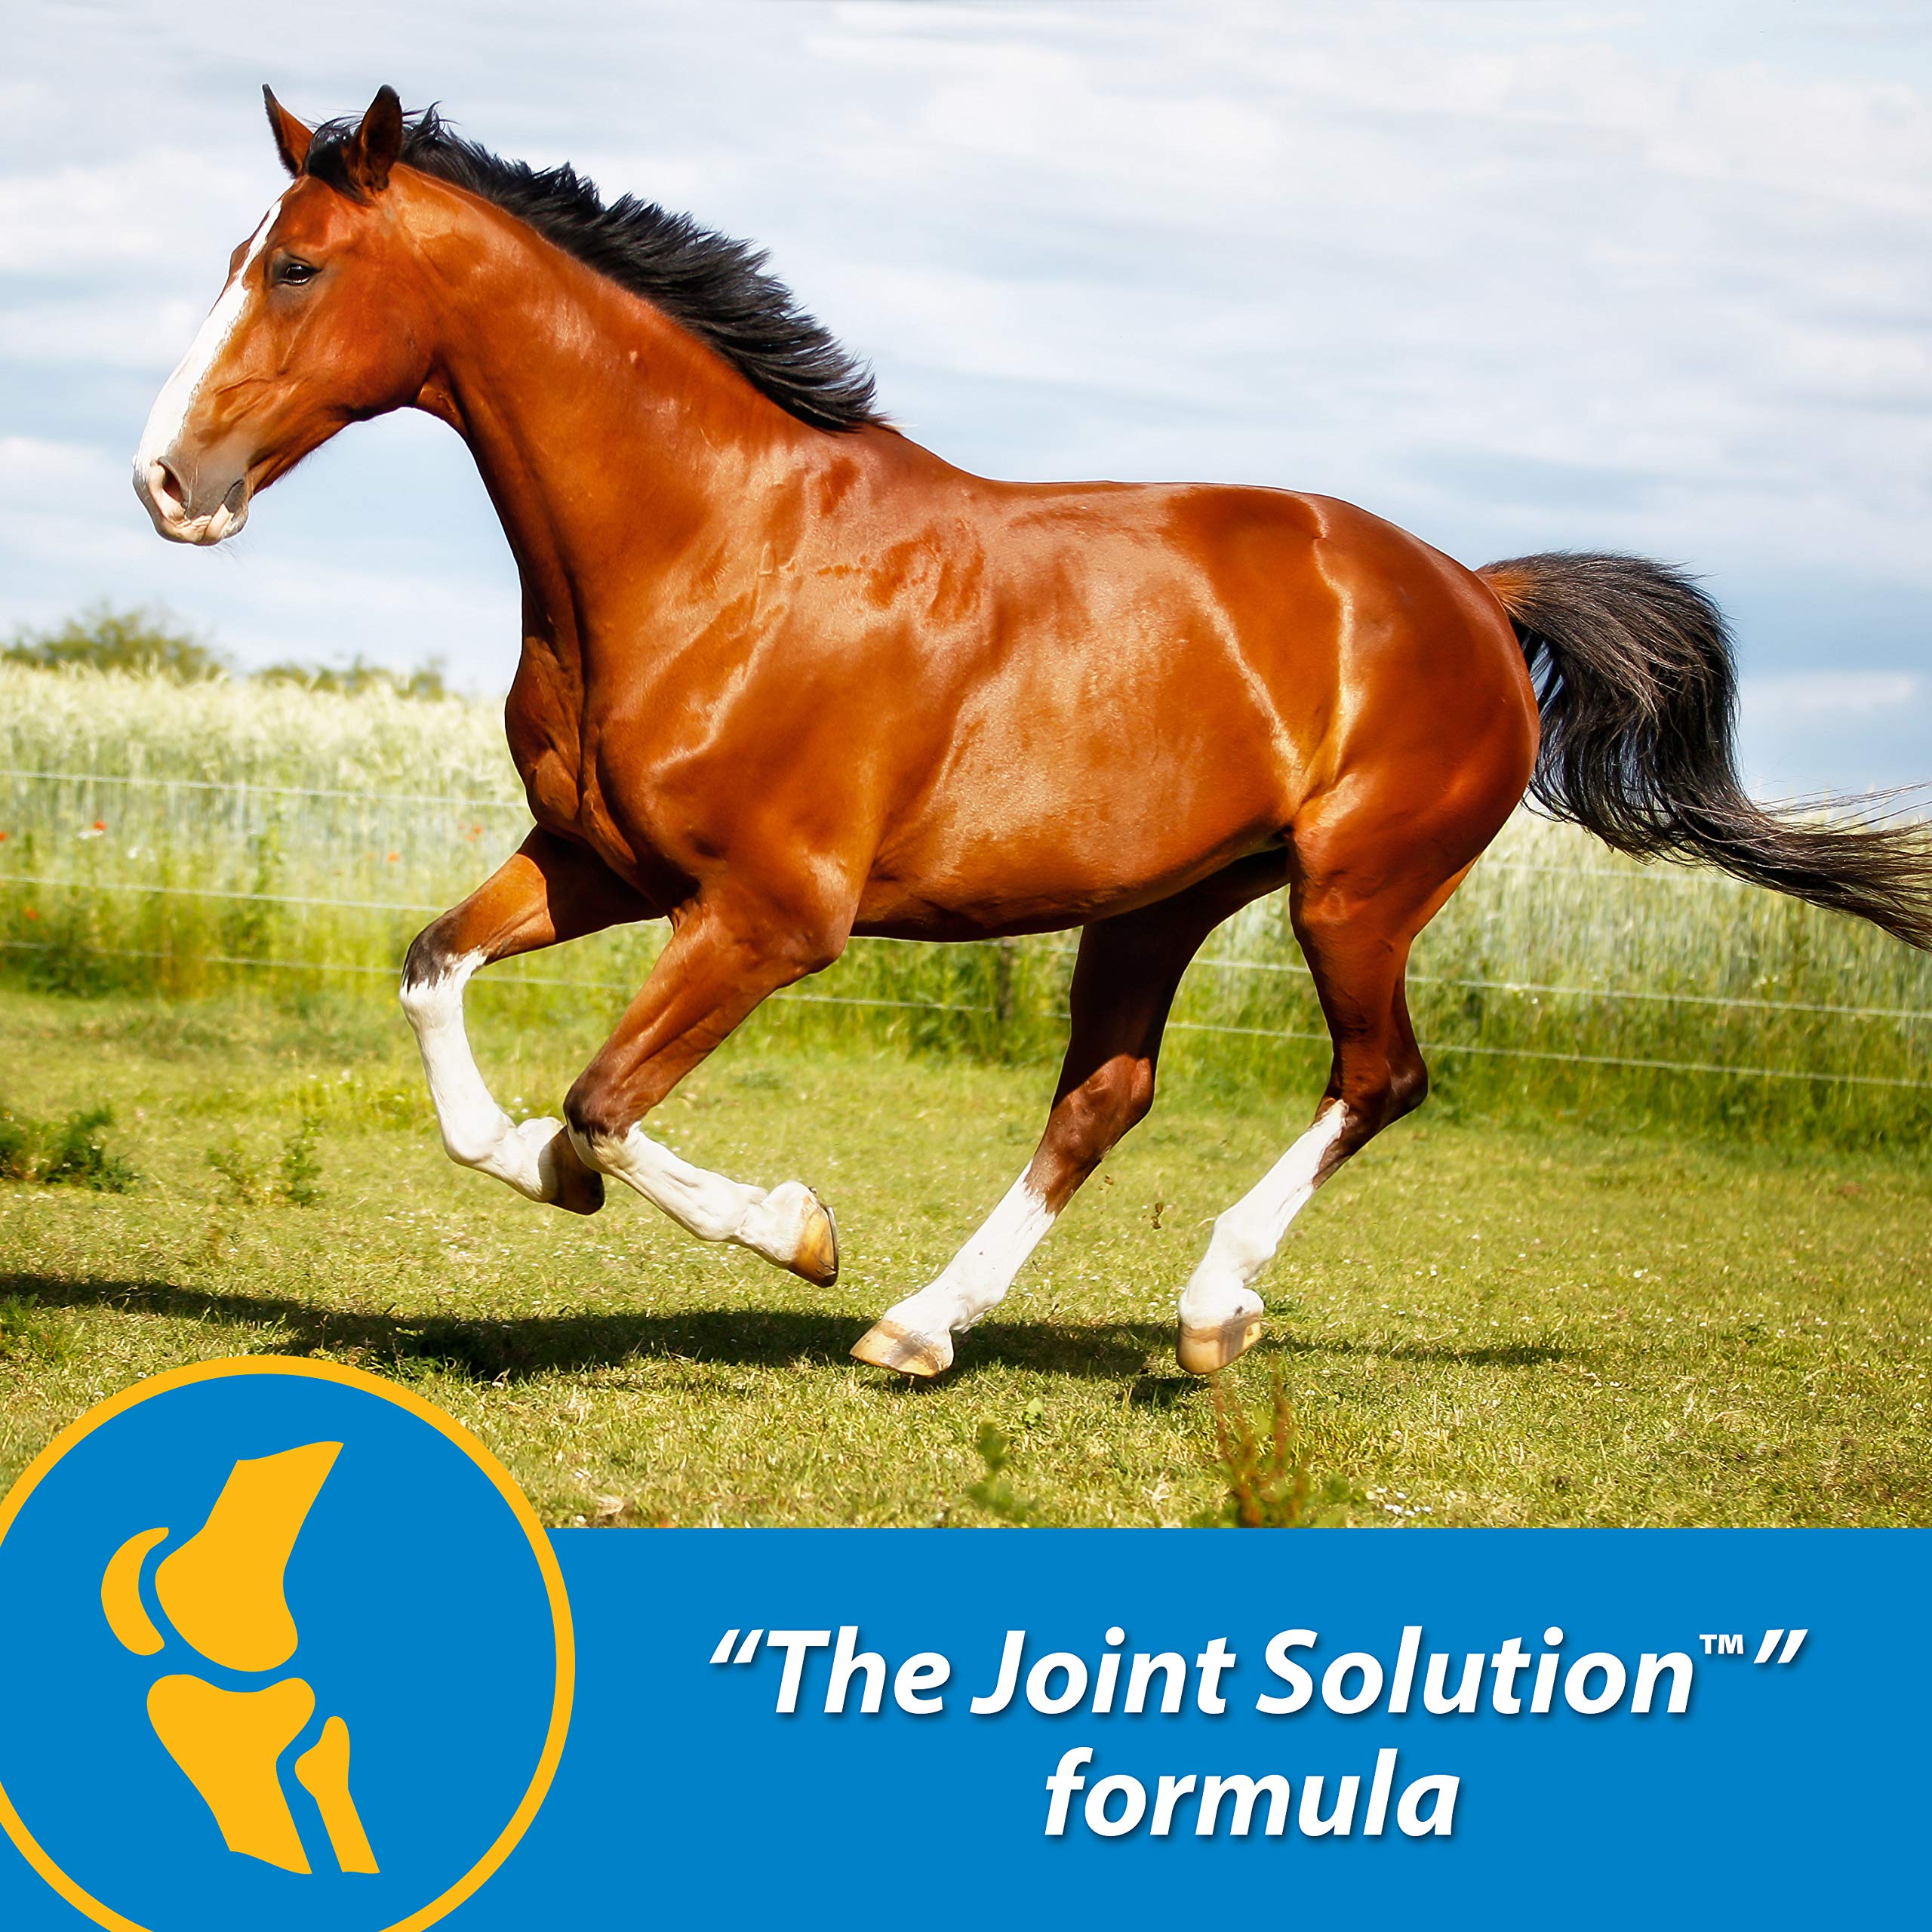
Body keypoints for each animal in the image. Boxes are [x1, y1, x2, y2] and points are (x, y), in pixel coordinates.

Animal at [135, 86, 1932, 1379]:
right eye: (234, 255)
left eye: (295, 267)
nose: (167, 480)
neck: (715, 545)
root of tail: (1474, 596)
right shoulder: (600, 864)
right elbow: (437, 982)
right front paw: (546, 1171)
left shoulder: (771, 919)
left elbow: (601, 1101)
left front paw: (794, 1227)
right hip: (1162, 902)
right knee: (1103, 1097)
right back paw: (920, 1328)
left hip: (1354, 892)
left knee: (1379, 1076)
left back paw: (1205, 1316)